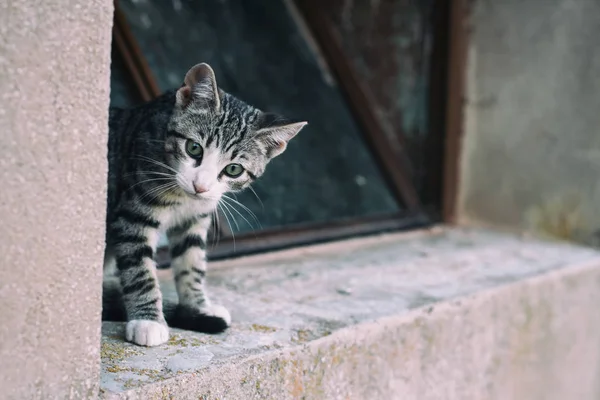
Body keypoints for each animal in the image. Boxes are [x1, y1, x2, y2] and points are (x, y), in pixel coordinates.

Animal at [102, 64, 304, 346]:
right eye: (194, 148)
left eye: (233, 169)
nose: (201, 186)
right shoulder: (133, 214)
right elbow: (139, 269)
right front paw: (147, 320)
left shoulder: (196, 218)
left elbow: (191, 262)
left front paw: (197, 306)